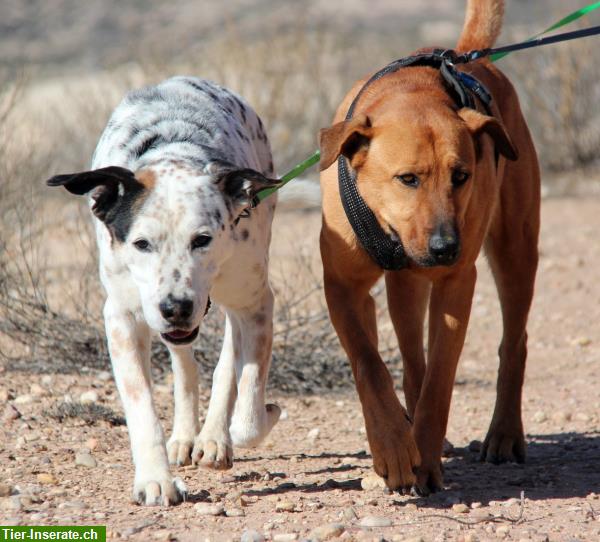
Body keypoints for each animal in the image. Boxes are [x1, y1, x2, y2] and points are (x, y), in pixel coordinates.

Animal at [45, 77, 282, 510]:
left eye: (202, 239)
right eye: (141, 244)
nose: (176, 307)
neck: (175, 154)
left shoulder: (256, 302)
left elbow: (249, 413)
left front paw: (250, 420)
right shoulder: (122, 318)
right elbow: (141, 407)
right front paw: (155, 480)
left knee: (228, 359)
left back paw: (212, 437)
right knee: (184, 365)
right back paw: (186, 435)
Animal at [318, 0, 540, 496]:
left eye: (461, 175)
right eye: (408, 178)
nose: (445, 247)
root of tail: (467, 55)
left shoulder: (457, 282)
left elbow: (441, 377)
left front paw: (423, 458)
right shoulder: (342, 285)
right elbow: (369, 364)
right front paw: (391, 445)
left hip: (515, 250)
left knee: (513, 343)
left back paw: (502, 434)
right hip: (406, 288)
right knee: (409, 359)